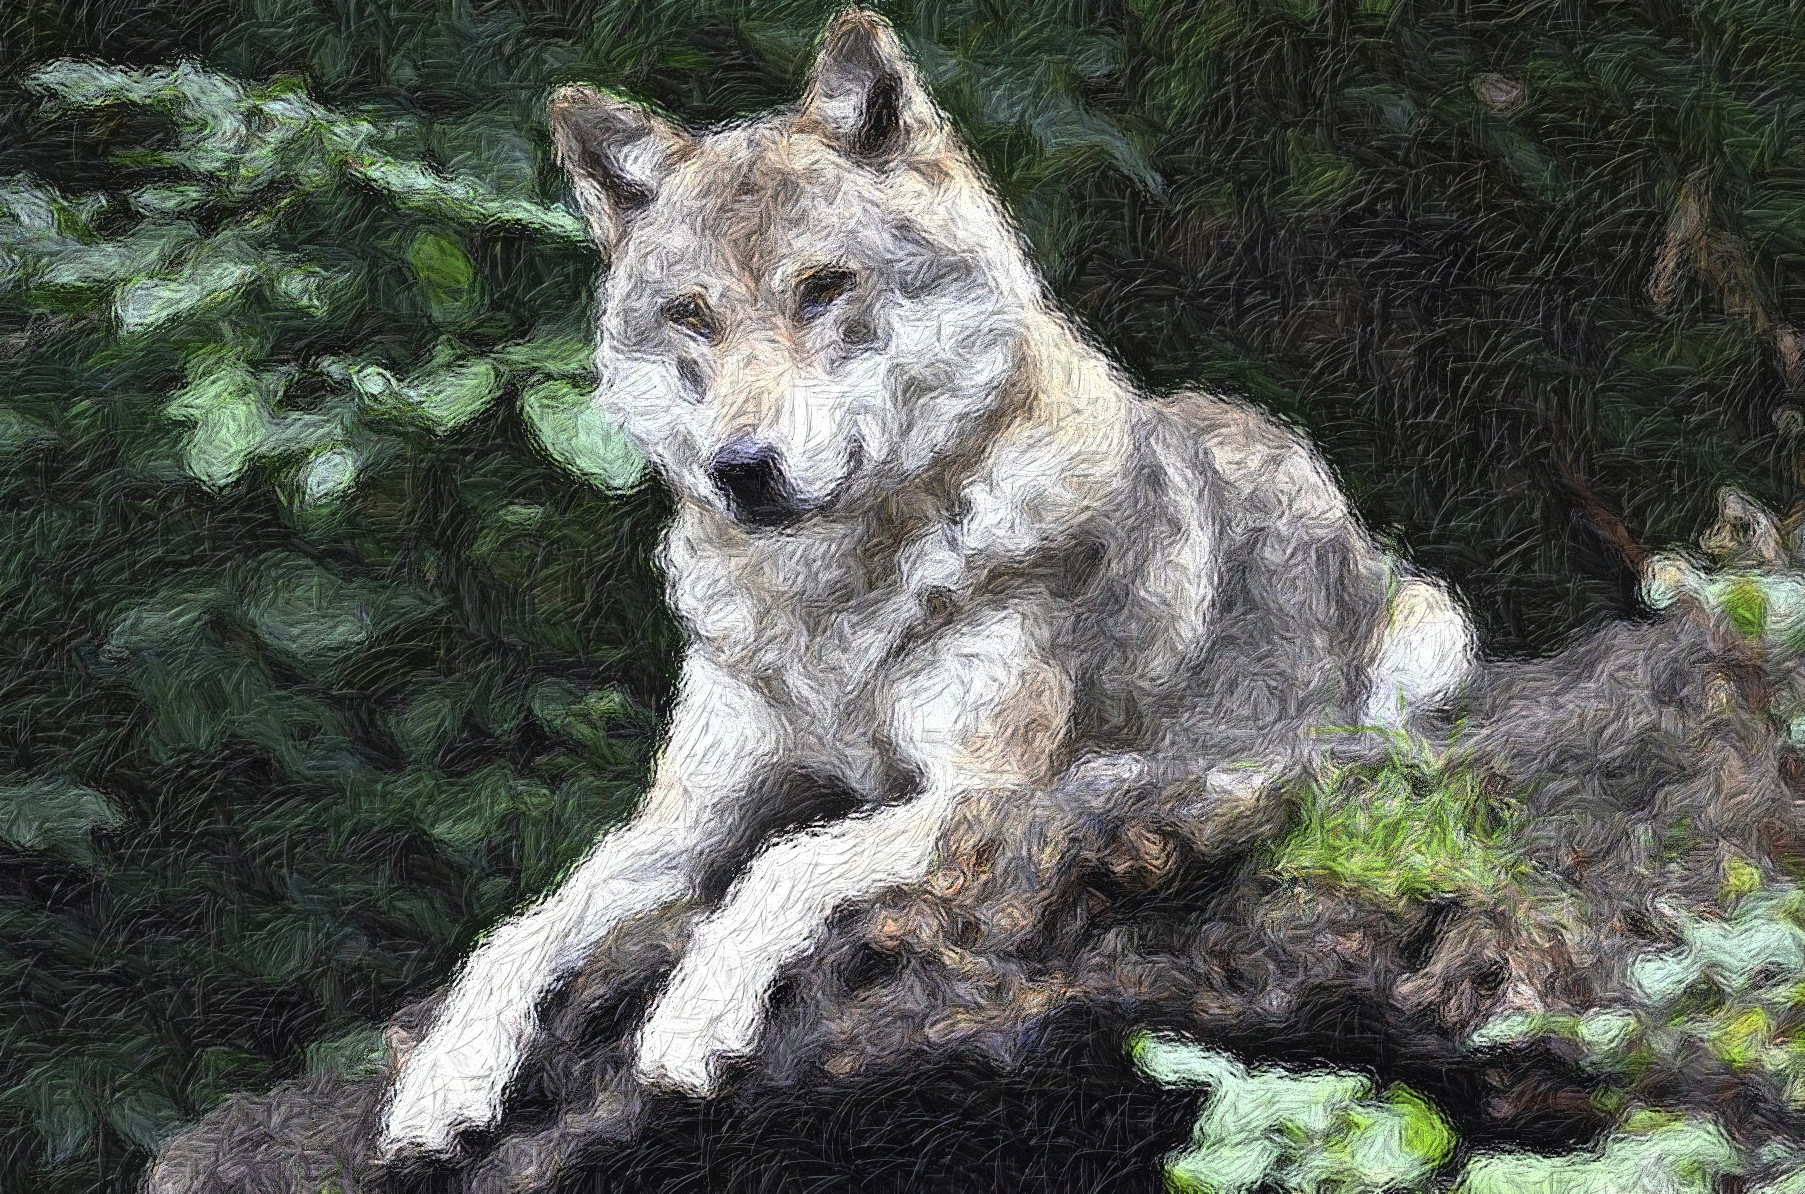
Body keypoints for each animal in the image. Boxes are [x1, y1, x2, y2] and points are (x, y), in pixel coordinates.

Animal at [376, 7, 1478, 1160]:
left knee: (1352, 745)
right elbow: (523, 927)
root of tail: (1284, 437)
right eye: (691, 316)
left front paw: (688, 1019)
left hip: (1428, 635)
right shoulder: (680, 820)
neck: (827, 604)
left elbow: (786, 860)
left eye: (823, 289)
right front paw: (442, 1079)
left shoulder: (965, 791)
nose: (739, 468)